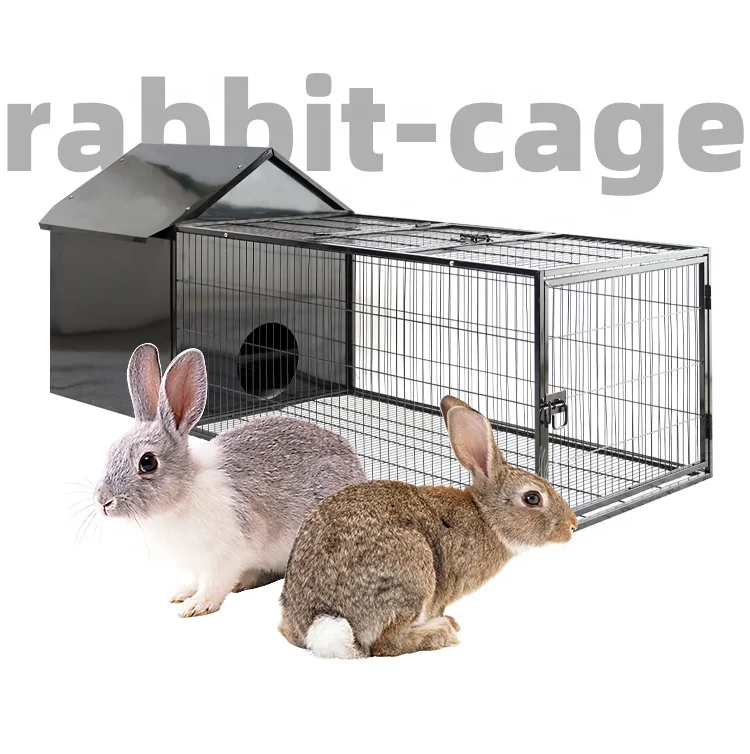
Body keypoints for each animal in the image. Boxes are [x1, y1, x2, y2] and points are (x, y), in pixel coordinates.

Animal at [93, 343, 367, 618]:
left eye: (147, 462)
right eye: (111, 450)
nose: (103, 501)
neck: (182, 495)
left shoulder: (224, 556)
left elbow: (213, 585)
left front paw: (196, 606)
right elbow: (195, 580)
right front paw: (181, 594)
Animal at [279, 395, 578, 658]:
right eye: (532, 498)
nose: (572, 525)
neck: (485, 517)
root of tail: (322, 620)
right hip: (413, 571)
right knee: (386, 644)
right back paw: (441, 632)